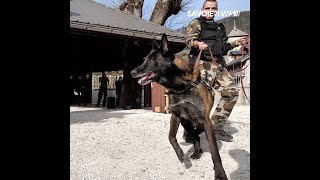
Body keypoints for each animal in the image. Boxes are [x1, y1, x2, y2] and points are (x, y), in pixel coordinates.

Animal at [130, 33, 228, 179]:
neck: (182, 87)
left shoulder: (206, 121)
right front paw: (181, 154)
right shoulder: (176, 115)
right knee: (195, 136)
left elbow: (215, 152)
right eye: (144, 60)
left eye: (151, 61)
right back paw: (196, 152)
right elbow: (171, 137)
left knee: (196, 134)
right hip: (185, 122)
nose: (132, 72)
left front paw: (220, 173)